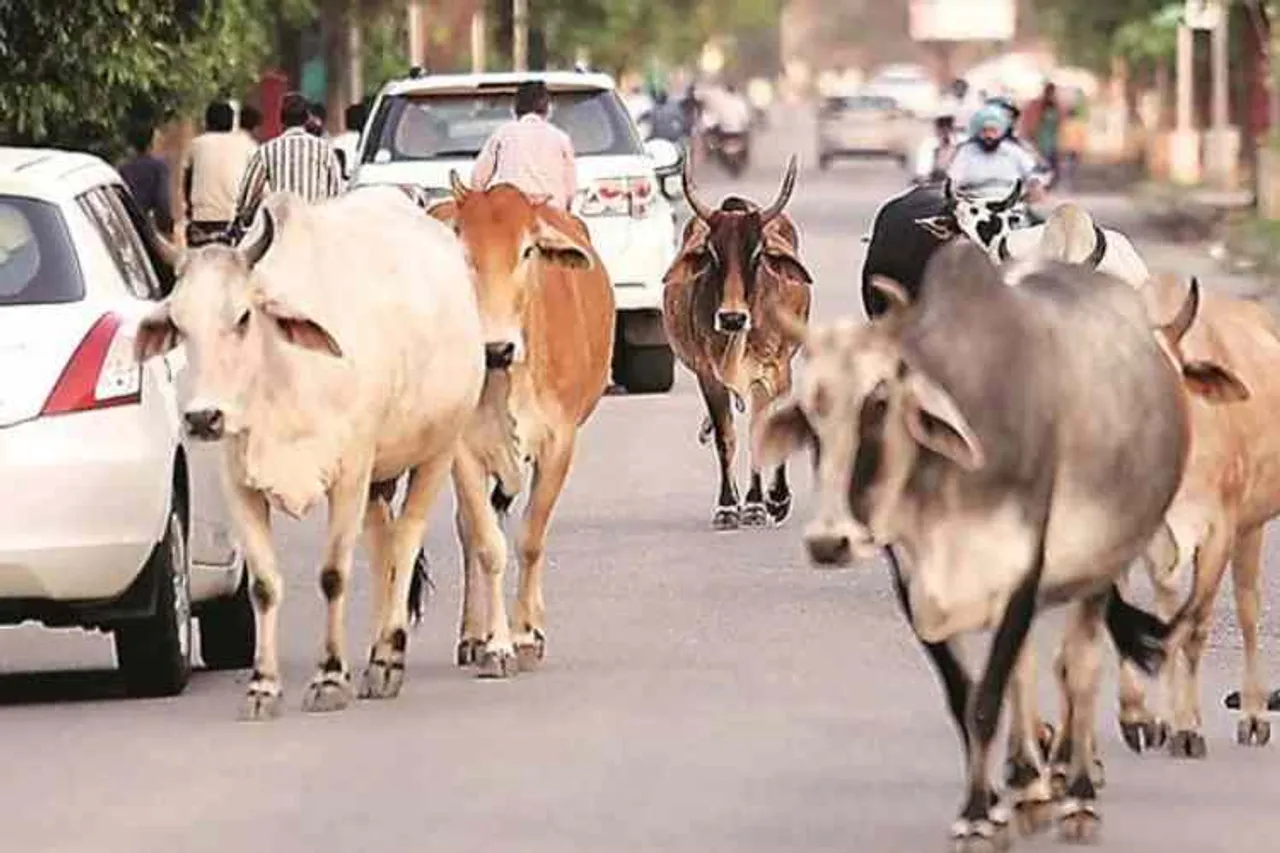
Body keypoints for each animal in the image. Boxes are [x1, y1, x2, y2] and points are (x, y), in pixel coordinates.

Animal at [135, 188, 483, 717]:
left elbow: (333, 575)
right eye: (179, 324)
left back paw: (388, 659)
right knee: (383, 552)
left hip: (439, 449)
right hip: (380, 479)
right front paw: (262, 686)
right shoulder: (239, 484)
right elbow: (263, 585)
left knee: (405, 544)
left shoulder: (350, 475)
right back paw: (376, 656)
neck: (284, 376)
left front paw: (330, 677)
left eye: (242, 317)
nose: (203, 417)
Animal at [430, 174, 614, 676]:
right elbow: (488, 545)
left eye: (528, 250)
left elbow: (531, 539)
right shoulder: (463, 452)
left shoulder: (559, 444)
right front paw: (496, 644)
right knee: (468, 530)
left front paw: (527, 635)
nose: (496, 348)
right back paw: (472, 635)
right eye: (462, 248)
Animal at [665, 149, 814, 527]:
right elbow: (725, 438)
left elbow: (761, 433)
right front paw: (729, 505)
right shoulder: (708, 375)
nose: (732, 317)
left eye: (757, 254)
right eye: (712, 254)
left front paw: (764, 502)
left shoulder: (772, 372)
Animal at [752, 240, 1244, 850]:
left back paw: (1077, 795)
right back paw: (1031, 785)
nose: (829, 542)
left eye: (879, 403)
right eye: (810, 416)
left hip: (1101, 565)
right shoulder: (914, 580)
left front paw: (982, 815)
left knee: (1080, 668)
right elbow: (968, 695)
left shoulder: (1023, 569)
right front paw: (988, 807)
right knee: (1028, 672)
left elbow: (989, 699)